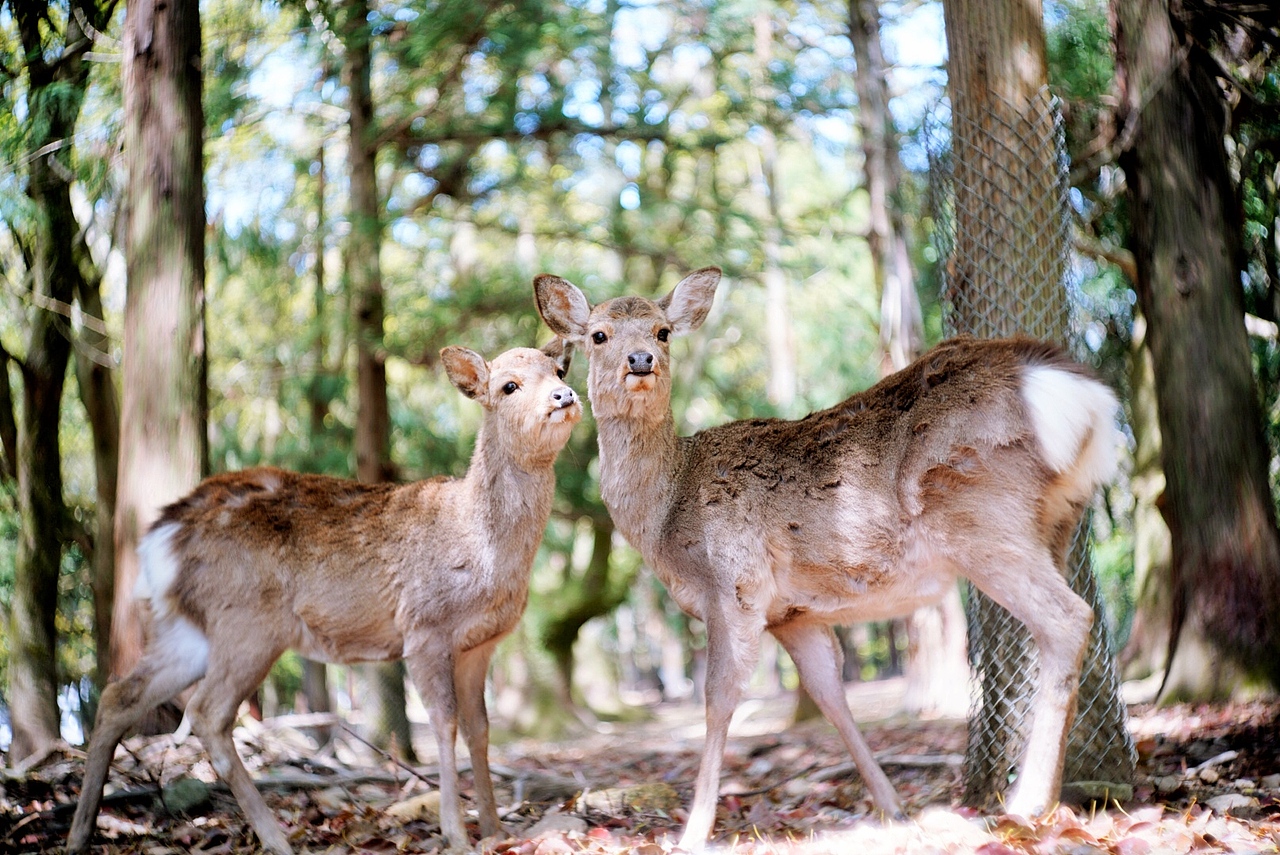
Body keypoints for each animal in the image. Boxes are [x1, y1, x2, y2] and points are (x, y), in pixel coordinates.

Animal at [67, 342, 581, 855]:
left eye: (557, 369)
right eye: (509, 385)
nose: (565, 395)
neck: (482, 549)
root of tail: (158, 541)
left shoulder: (481, 644)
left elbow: (480, 729)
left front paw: (496, 830)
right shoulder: (425, 627)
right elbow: (444, 723)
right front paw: (456, 834)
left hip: (187, 629)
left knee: (119, 696)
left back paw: (79, 834)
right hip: (247, 619)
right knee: (207, 713)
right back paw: (277, 839)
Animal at [534, 267, 1120, 849]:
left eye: (663, 331)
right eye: (599, 335)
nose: (640, 360)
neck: (667, 516)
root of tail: (1080, 392)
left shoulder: (734, 584)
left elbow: (719, 696)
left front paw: (693, 831)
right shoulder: (794, 614)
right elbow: (830, 695)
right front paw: (892, 808)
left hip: (981, 516)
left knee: (1068, 617)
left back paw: (1025, 804)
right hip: (1057, 520)